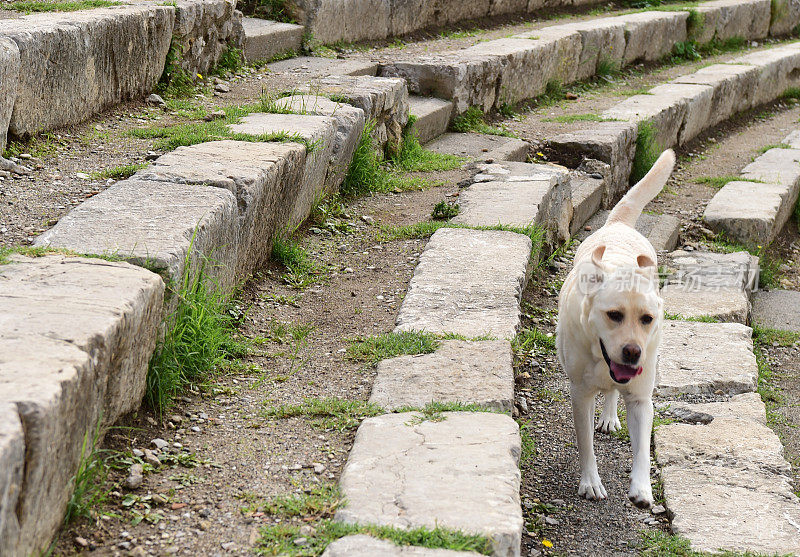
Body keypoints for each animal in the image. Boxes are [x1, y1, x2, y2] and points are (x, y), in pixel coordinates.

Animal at [556, 149, 676, 508]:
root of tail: (619, 223)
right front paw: (590, 482)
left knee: (611, 391)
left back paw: (610, 415)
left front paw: (642, 489)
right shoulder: (580, 395)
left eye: (647, 319)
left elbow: (643, 449)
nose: (633, 351)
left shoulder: (640, 399)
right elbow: (585, 445)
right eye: (614, 315)